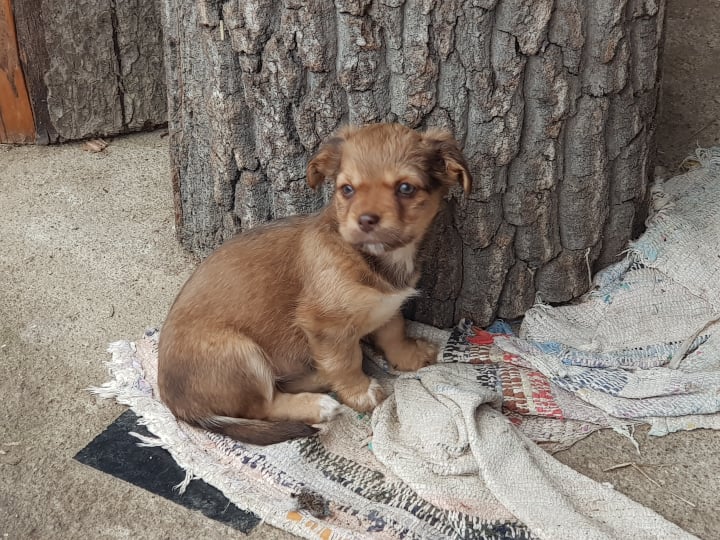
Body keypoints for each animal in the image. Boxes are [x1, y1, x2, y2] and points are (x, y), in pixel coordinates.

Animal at [158, 122, 472, 442]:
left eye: (405, 188)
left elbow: (394, 331)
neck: (372, 259)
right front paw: (360, 392)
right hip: (241, 354)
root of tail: (178, 406)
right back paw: (318, 403)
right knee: (265, 406)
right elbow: (346, 361)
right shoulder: (326, 326)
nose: (365, 220)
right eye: (347, 189)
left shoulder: (388, 304)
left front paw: (409, 355)